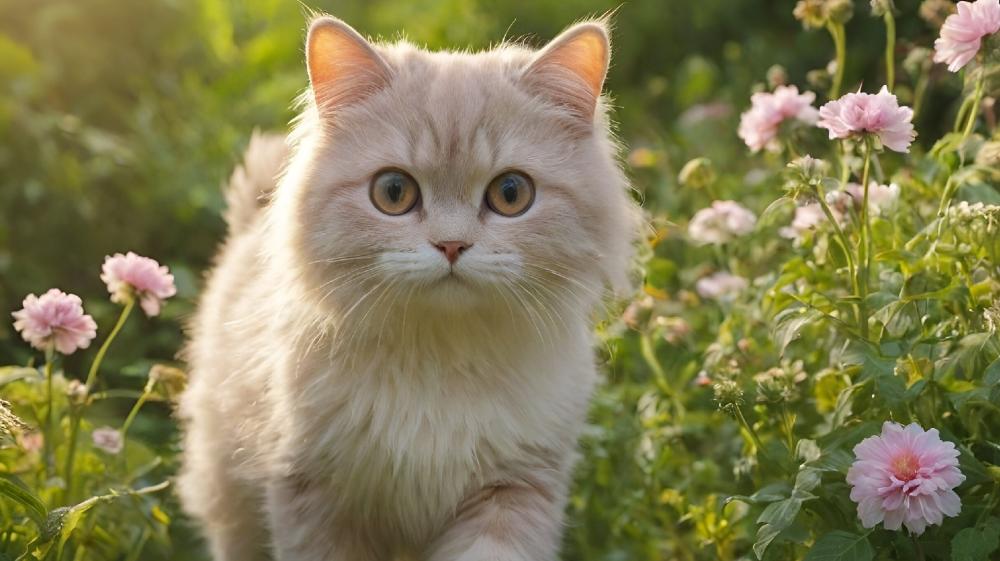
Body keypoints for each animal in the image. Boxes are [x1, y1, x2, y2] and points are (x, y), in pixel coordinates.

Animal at [177, 13, 636, 560]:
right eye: (394, 192)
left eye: (511, 194)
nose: (452, 245)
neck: (439, 358)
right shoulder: (313, 494)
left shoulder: (512, 489)